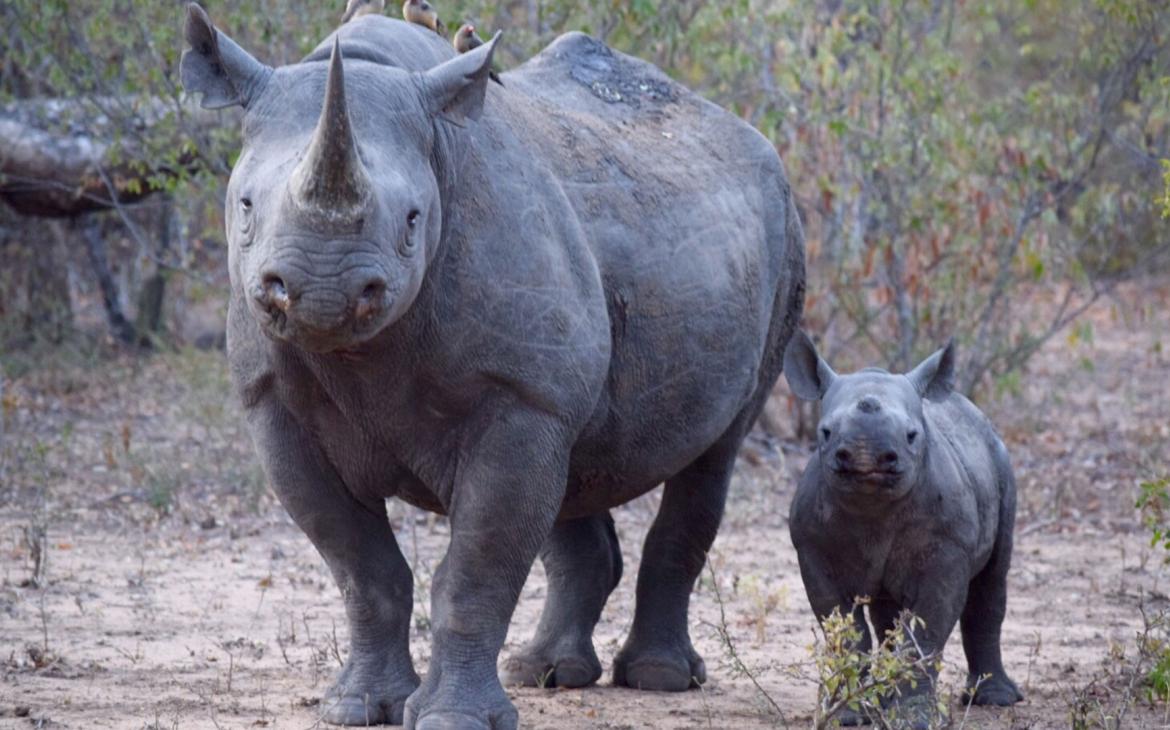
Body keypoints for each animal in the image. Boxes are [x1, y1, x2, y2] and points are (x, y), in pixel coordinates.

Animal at [786, 332, 1024, 725]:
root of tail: (974, 412)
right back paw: (883, 699)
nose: (866, 456)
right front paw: (848, 716)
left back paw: (996, 700)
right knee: (887, 611)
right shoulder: (813, 549)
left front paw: (916, 720)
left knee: (993, 577)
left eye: (912, 435)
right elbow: (847, 632)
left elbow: (926, 633)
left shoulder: (948, 550)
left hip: (1001, 459)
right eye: (825, 432)